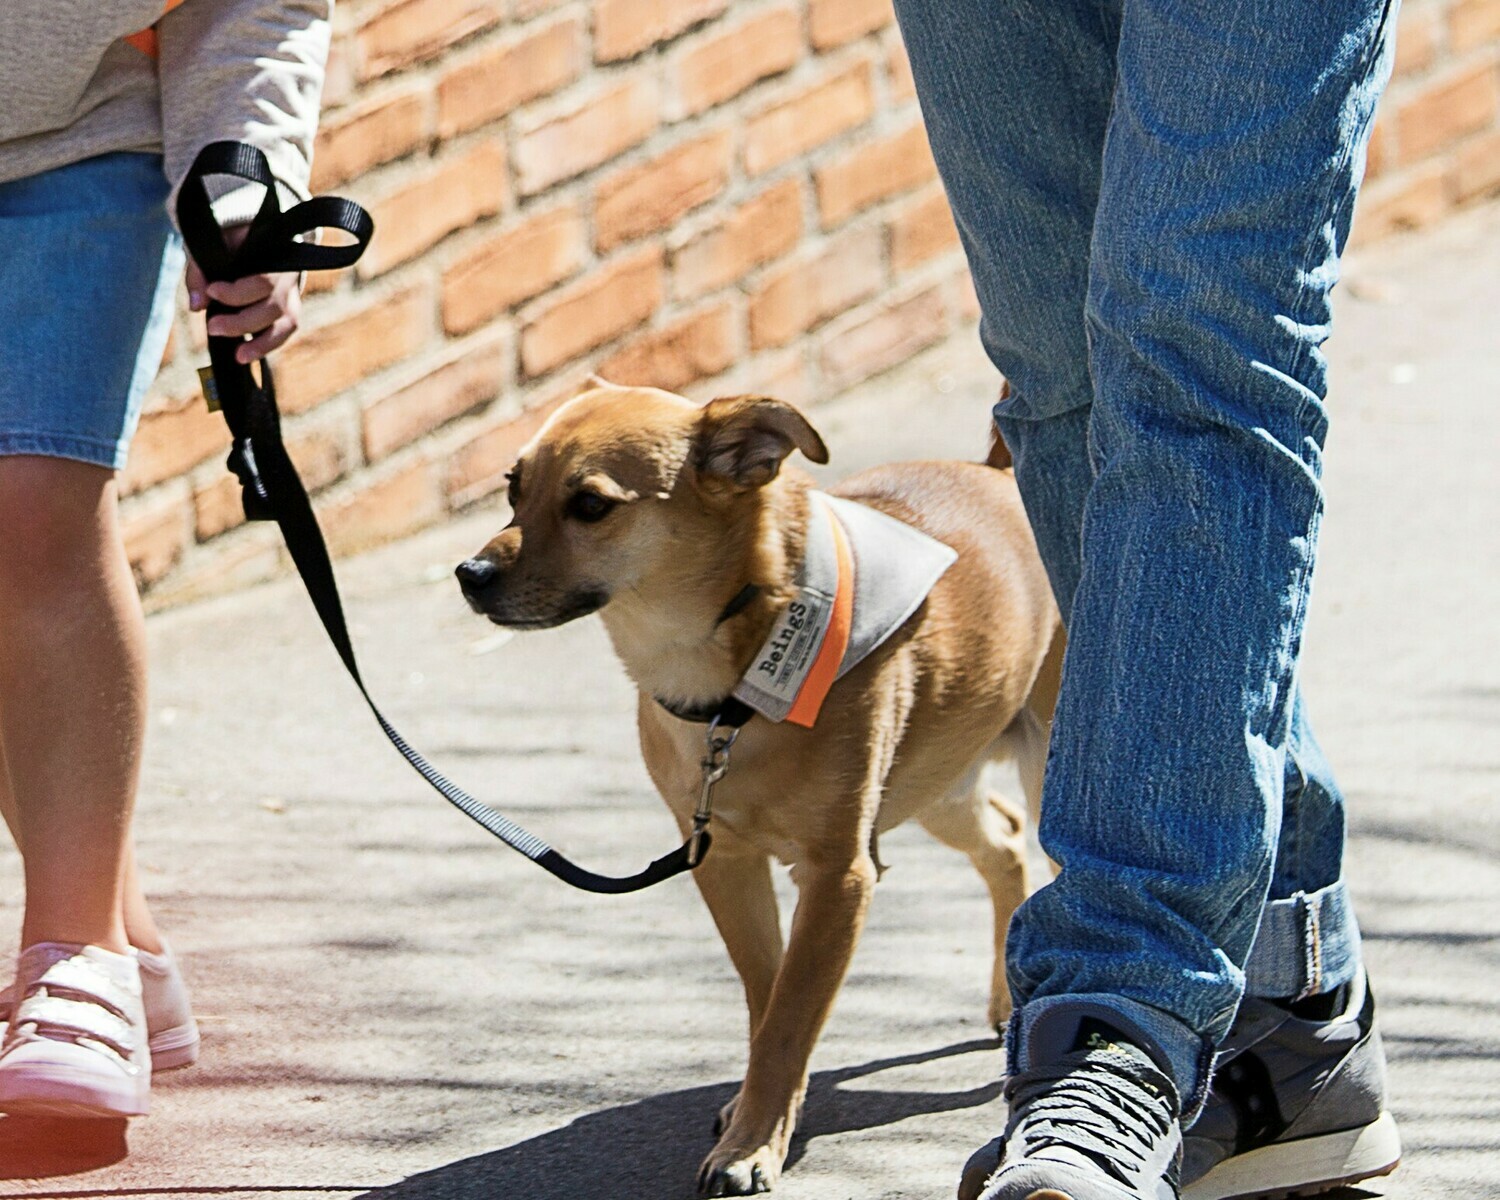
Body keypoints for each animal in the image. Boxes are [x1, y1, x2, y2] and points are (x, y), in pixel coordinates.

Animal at [453, 384, 1056, 1188]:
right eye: (513, 490)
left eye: (590, 505)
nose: (469, 575)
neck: (725, 692)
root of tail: (999, 476)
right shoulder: (725, 862)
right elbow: (769, 1001)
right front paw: (758, 1117)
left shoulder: (838, 876)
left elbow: (790, 1016)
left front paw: (750, 1147)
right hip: (939, 785)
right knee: (1007, 846)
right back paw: (1003, 997)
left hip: (1041, 775)